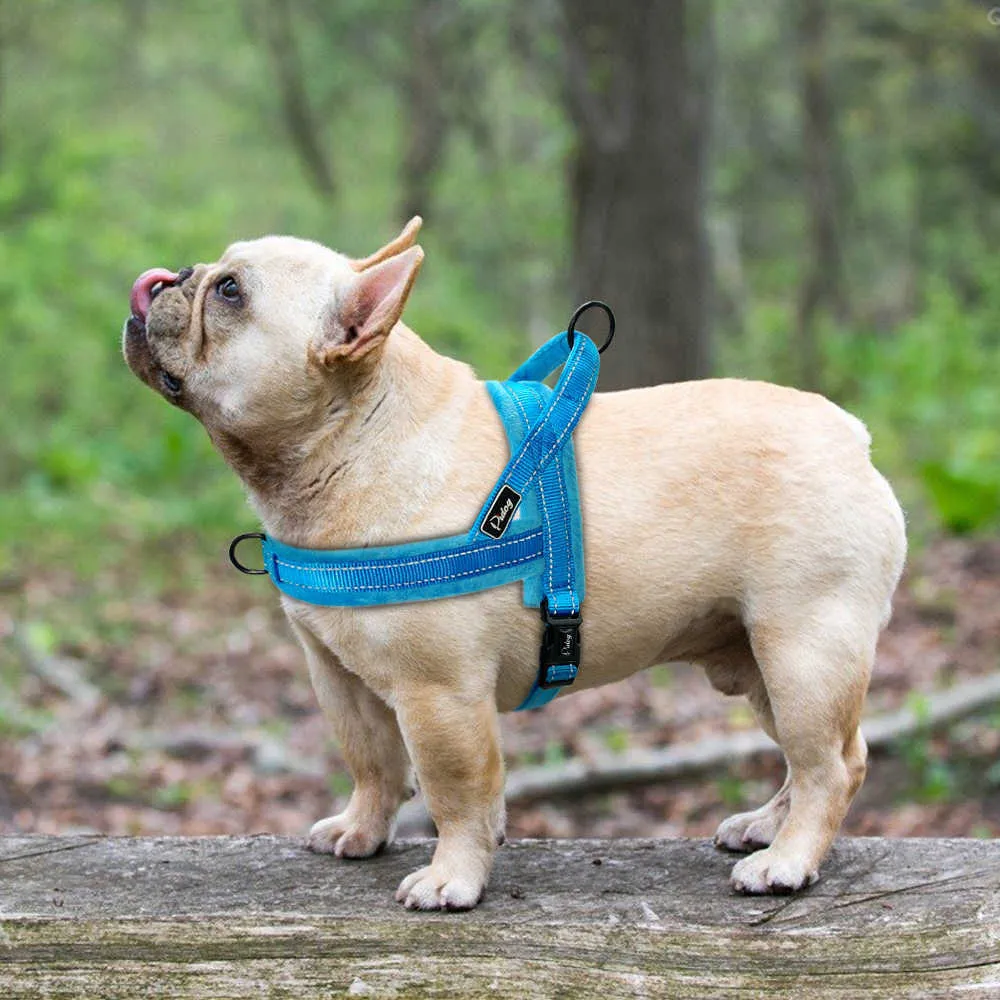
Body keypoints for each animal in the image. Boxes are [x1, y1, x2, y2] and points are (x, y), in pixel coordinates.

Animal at [123, 217, 908, 908]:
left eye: (230, 292)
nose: (170, 276)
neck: (356, 435)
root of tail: (852, 437)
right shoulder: (339, 678)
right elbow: (373, 764)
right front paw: (362, 830)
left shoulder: (439, 694)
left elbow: (456, 790)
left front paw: (454, 878)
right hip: (756, 659)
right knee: (825, 755)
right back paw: (766, 828)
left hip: (803, 648)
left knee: (829, 764)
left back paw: (787, 861)